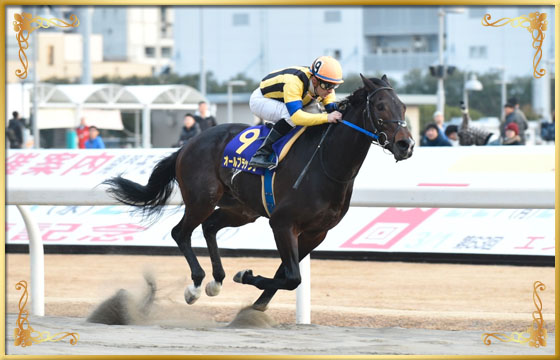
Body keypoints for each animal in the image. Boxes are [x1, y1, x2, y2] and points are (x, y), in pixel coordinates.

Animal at [103, 74, 414, 310]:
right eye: (381, 107)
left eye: (403, 106)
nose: (406, 145)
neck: (326, 163)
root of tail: (187, 144)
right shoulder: (283, 223)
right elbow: (293, 278)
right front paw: (245, 276)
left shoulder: (316, 233)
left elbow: (287, 274)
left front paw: (256, 306)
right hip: (202, 199)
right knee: (181, 232)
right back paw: (196, 285)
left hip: (242, 209)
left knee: (210, 227)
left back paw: (216, 280)